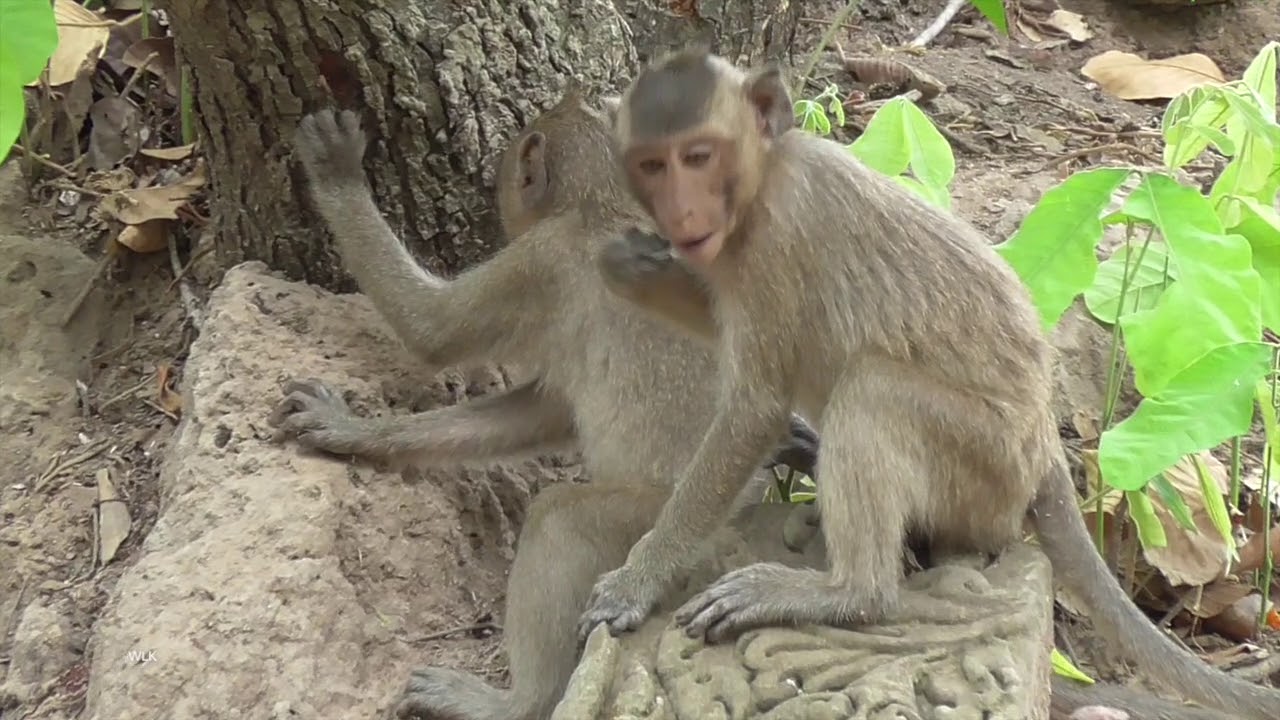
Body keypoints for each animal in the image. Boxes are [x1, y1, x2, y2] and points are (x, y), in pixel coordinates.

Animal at [275, 93, 819, 720]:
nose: (501, 188)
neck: (602, 198)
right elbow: (543, 414)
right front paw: (362, 434)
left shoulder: (541, 259)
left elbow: (430, 330)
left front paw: (336, 169)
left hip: (657, 519)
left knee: (560, 517)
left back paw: (516, 702)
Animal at [577, 48, 1280, 720]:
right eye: (652, 165)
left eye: (697, 157)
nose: (682, 210)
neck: (762, 178)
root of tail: (1044, 449)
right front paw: (628, 268)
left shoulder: (780, 237)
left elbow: (755, 408)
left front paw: (637, 579)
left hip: (984, 467)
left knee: (872, 390)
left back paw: (848, 595)